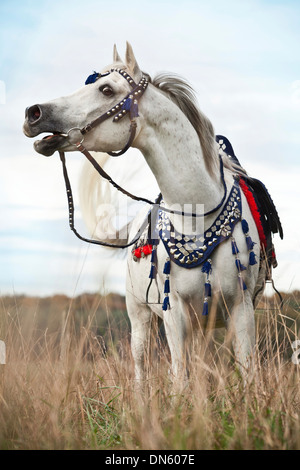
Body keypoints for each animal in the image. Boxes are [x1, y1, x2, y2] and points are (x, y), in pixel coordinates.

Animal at [24, 43, 282, 382]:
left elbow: (246, 372)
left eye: (106, 89)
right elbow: (179, 379)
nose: (34, 113)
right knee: (140, 370)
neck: (197, 216)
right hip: (140, 318)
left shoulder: (241, 309)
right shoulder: (174, 314)